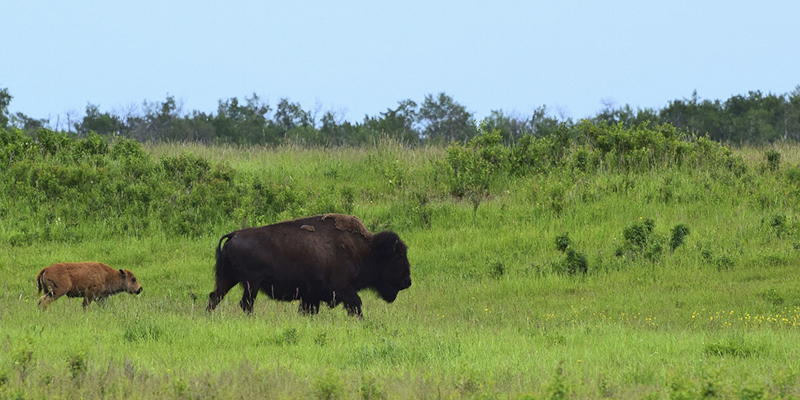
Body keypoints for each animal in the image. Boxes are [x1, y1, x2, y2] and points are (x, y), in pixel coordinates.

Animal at [206, 214, 412, 318]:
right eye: (398, 258)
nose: (407, 281)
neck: (365, 249)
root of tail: (234, 235)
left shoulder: (310, 296)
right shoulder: (343, 288)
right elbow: (356, 304)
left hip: (229, 279)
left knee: (215, 297)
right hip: (251, 284)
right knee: (245, 303)